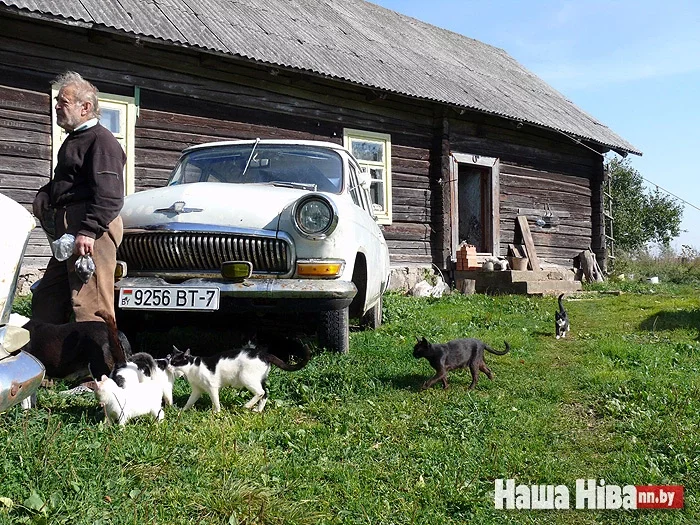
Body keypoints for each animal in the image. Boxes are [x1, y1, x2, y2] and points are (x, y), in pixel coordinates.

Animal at [170, 338, 308, 412]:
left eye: (175, 362)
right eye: (170, 360)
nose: (168, 366)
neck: (193, 369)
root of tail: (263, 354)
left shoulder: (212, 387)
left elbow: (215, 401)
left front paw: (216, 412)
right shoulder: (196, 390)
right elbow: (189, 402)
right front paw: (183, 411)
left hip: (246, 377)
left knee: (261, 392)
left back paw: (247, 405)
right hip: (259, 379)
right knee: (266, 393)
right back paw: (258, 410)